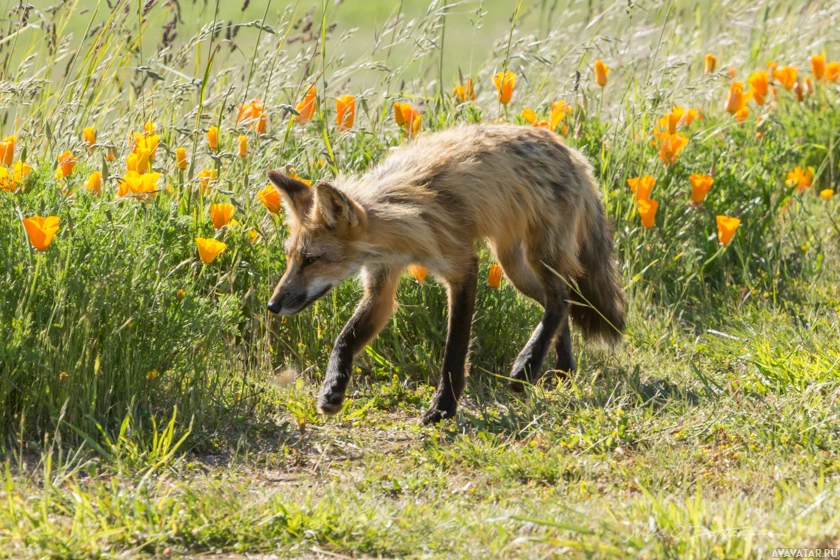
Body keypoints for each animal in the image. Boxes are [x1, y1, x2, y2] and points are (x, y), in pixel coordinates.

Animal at [266, 124, 628, 422]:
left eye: (311, 259)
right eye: (291, 258)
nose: (272, 305)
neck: (398, 223)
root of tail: (571, 151)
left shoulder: (462, 267)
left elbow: (454, 349)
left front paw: (443, 408)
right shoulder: (381, 283)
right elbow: (344, 341)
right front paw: (332, 391)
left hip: (539, 256)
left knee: (559, 299)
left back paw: (526, 368)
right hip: (514, 266)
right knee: (561, 302)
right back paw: (562, 370)